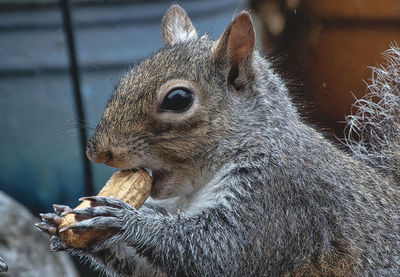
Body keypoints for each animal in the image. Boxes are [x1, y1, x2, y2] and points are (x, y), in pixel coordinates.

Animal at [36, 4, 400, 276]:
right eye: (124, 79)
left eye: (178, 99)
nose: (98, 152)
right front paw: (63, 219)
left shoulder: (278, 196)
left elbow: (221, 252)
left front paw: (125, 220)